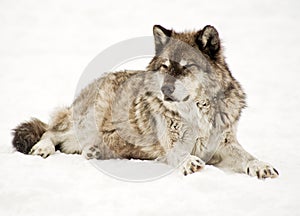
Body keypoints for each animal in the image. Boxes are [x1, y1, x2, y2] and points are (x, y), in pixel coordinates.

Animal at [11, 24, 278, 179]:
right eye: (165, 66)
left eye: (186, 67)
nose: (165, 89)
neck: (196, 113)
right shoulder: (171, 144)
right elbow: (179, 153)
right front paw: (189, 162)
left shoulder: (223, 144)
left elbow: (247, 156)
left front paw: (261, 166)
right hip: (90, 118)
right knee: (50, 132)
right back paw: (44, 148)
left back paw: (94, 151)